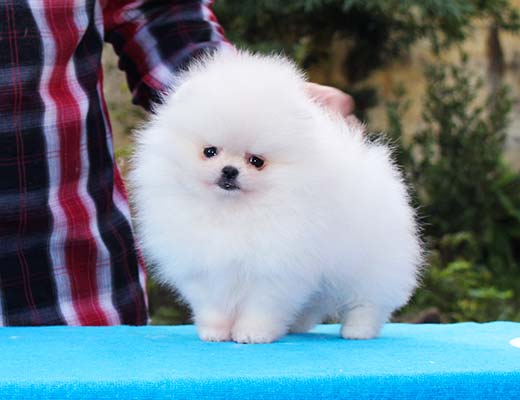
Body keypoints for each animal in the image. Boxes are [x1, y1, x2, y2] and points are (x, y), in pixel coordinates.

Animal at [131, 50, 422, 344]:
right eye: (209, 151)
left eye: (257, 161)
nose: (229, 170)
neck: (232, 211)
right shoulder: (204, 270)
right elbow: (213, 306)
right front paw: (214, 332)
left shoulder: (275, 271)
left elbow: (261, 306)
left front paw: (252, 332)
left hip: (371, 265)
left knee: (368, 302)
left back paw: (358, 330)